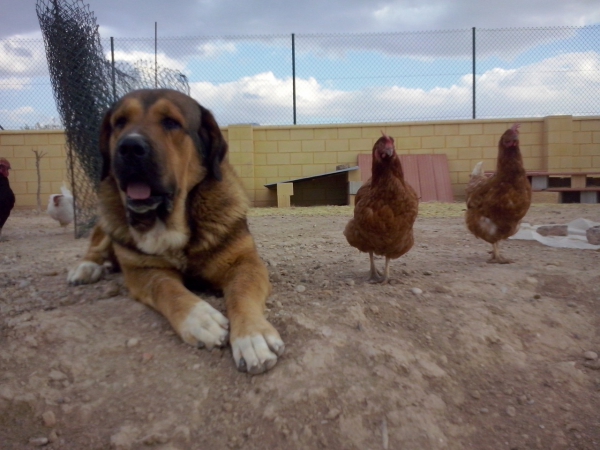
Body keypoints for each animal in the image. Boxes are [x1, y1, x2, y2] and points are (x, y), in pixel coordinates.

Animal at [69, 88, 284, 372]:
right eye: (120, 122)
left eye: (171, 122)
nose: (129, 147)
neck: (173, 224)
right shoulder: (142, 271)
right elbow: (166, 288)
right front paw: (200, 318)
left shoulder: (245, 262)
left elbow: (242, 293)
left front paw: (252, 336)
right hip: (107, 219)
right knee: (96, 246)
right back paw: (86, 268)